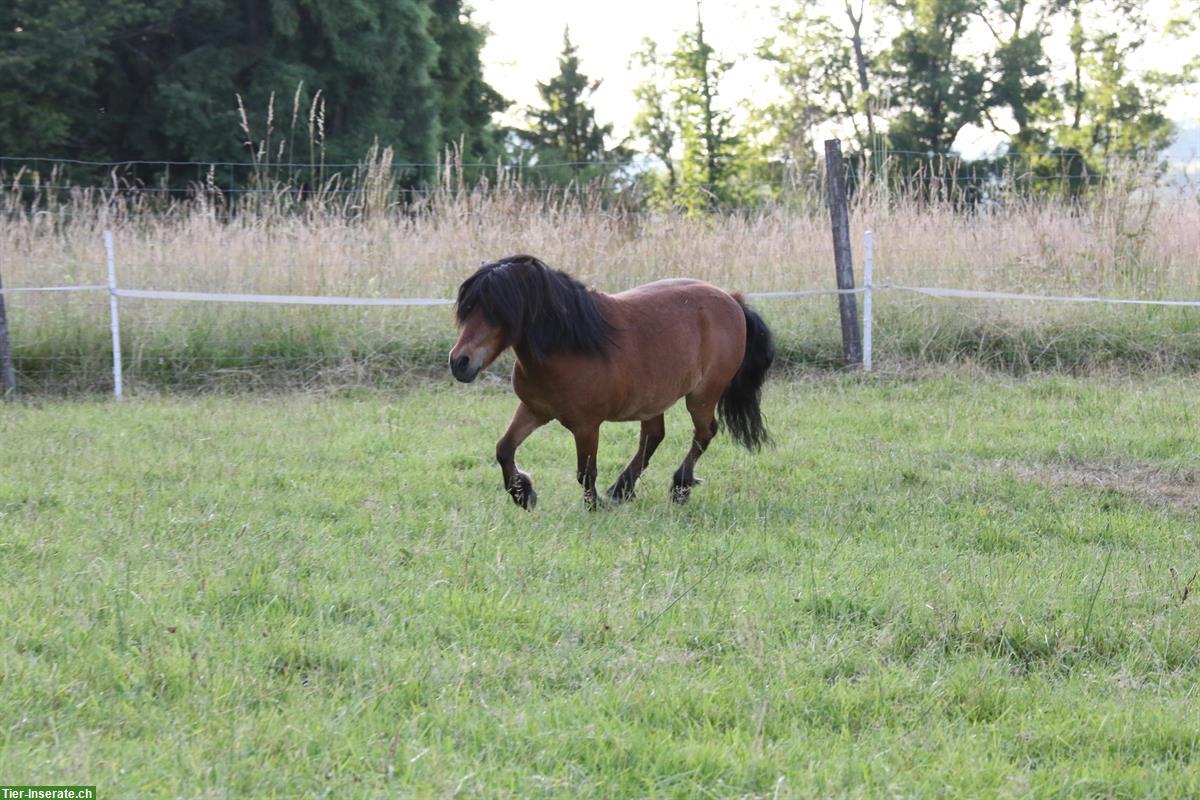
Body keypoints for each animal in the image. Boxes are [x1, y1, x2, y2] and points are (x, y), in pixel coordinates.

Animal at [446, 253, 772, 510]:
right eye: (467, 308)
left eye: (499, 311)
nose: (459, 362)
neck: (570, 346)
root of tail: (733, 300)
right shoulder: (534, 410)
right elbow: (504, 449)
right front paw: (523, 494)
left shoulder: (587, 426)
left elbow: (585, 472)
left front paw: (593, 507)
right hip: (653, 399)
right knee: (654, 436)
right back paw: (622, 488)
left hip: (702, 396)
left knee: (704, 433)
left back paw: (679, 486)